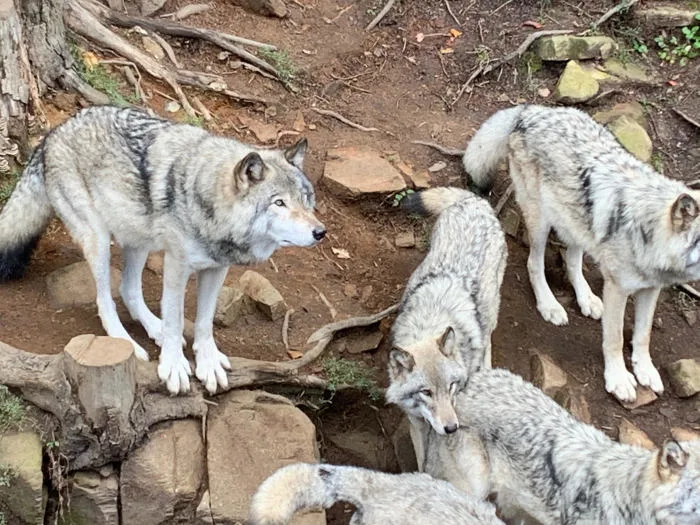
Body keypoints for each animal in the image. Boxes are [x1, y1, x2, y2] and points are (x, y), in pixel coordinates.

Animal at [0, 105, 326, 392]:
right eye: (279, 202)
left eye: (307, 199)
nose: (320, 232)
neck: (204, 198)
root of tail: (51, 135)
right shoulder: (177, 266)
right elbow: (176, 319)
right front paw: (174, 367)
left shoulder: (217, 269)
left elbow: (204, 322)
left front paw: (208, 364)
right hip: (99, 240)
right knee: (105, 300)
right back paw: (128, 344)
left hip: (138, 239)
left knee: (129, 289)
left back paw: (152, 329)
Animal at [386, 185, 506, 466]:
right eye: (426, 392)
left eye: (451, 386)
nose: (451, 428)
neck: (430, 323)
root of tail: (474, 201)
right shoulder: (416, 421)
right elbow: (422, 459)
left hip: (492, 306)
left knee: (488, 337)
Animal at [464, 104, 700, 404]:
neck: (649, 230)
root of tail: (530, 110)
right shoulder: (618, 289)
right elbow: (615, 339)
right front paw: (619, 379)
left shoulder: (651, 289)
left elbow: (643, 335)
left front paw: (645, 370)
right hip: (541, 222)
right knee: (534, 264)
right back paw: (549, 305)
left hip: (575, 224)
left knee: (572, 263)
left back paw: (586, 299)